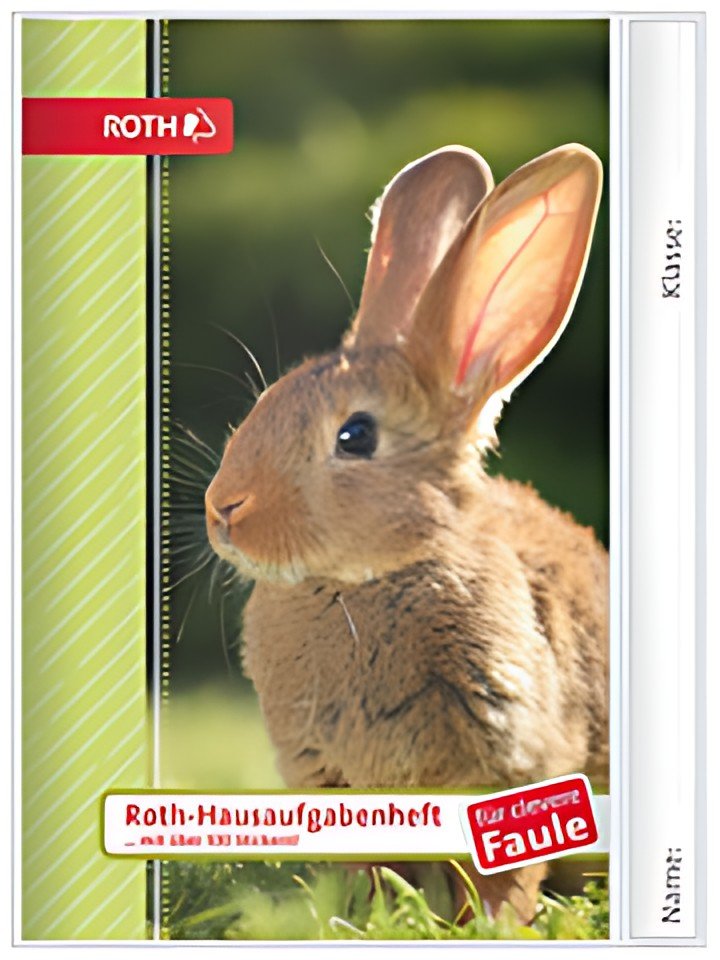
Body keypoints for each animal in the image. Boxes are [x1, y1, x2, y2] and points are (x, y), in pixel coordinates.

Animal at [205, 144, 608, 925]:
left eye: (356, 436)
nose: (223, 508)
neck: (363, 580)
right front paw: (355, 918)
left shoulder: (516, 759)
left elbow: (504, 872)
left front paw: (491, 928)